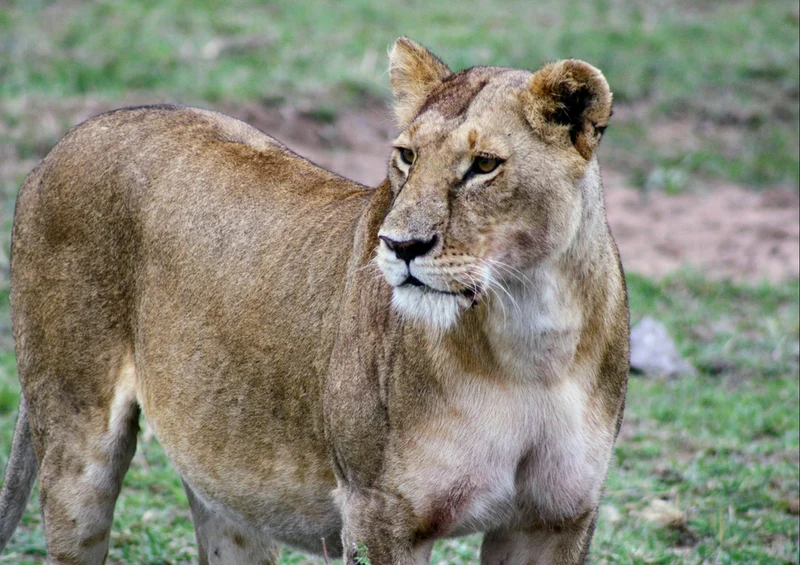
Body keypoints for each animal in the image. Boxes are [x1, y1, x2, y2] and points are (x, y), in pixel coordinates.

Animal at [0, 38, 628, 564]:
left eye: (485, 165)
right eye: (406, 156)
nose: (400, 246)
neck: (530, 335)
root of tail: (61, 144)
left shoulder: (555, 520)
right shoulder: (379, 514)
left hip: (224, 480)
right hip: (76, 444)